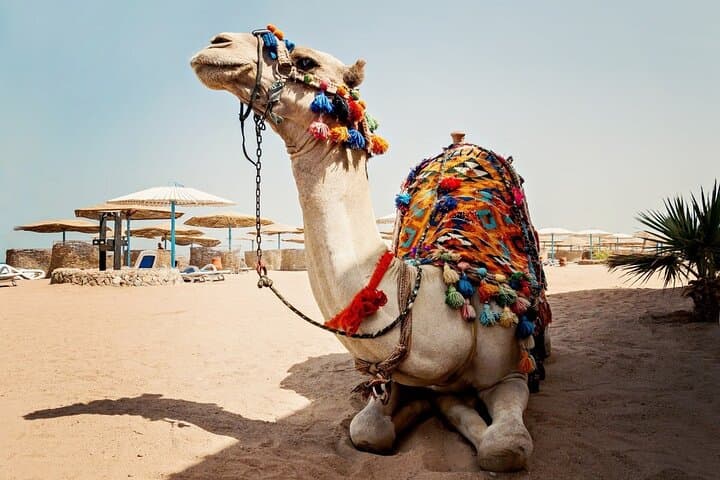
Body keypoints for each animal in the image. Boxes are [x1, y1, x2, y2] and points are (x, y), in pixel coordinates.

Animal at [191, 27, 548, 472]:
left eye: (306, 61)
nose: (218, 44)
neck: (439, 295)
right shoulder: (394, 376)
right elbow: (368, 431)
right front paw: (437, 405)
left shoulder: (510, 374)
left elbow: (504, 447)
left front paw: (461, 411)